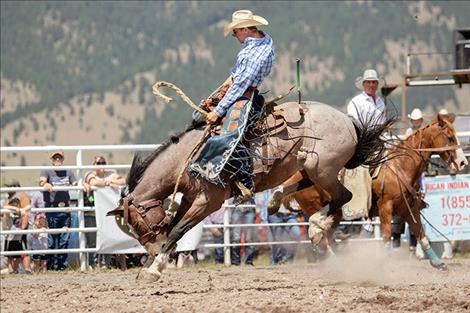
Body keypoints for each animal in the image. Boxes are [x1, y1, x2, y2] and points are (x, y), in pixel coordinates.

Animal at [272, 113, 466, 270]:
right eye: (450, 137)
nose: (463, 162)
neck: (401, 167)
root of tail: (294, 177)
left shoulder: (409, 209)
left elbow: (420, 233)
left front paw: (438, 263)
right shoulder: (386, 207)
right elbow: (387, 236)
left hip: (335, 212)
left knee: (325, 234)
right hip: (315, 207)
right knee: (322, 237)